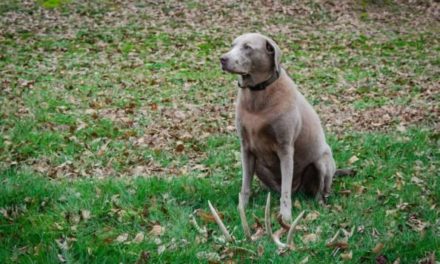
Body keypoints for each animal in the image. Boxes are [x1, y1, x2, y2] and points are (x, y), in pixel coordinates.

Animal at [220, 33, 340, 223]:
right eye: (232, 45)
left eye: (247, 47)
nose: (222, 59)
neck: (257, 95)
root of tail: (298, 191)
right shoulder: (245, 147)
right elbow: (245, 184)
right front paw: (242, 209)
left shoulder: (285, 148)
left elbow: (285, 190)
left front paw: (285, 217)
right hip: (259, 165)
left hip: (322, 161)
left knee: (320, 190)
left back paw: (318, 204)